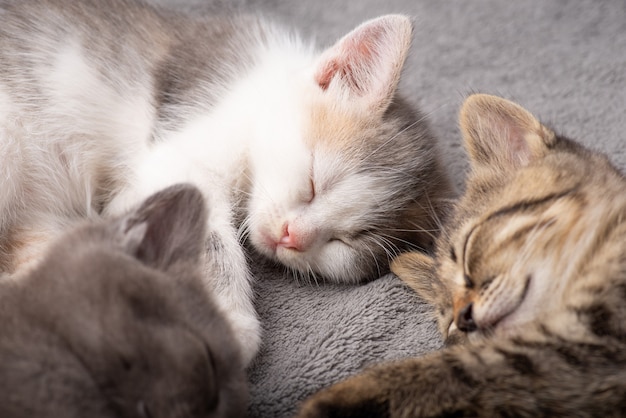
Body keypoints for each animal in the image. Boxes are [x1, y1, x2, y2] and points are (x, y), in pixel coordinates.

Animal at [0, 0, 448, 364]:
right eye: (315, 180)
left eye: (349, 241)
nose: (292, 235)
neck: (255, 94)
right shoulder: (180, 146)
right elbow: (204, 232)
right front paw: (227, 326)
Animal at [294, 94, 624, 418]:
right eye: (448, 320)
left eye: (467, 250)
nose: (465, 318)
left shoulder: (583, 338)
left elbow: (451, 372)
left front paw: (334, 400)